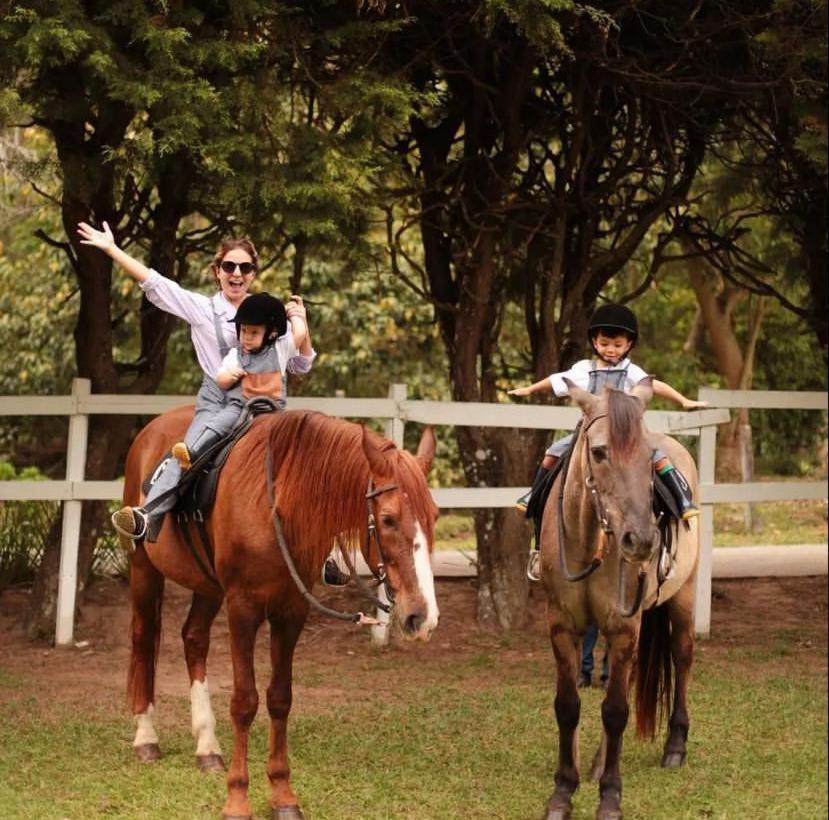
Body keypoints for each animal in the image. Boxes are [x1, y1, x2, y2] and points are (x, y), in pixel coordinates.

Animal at [121, 406, 440, 816]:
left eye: (434, 516)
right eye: (387, 519)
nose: (422, 616)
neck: (278, 508)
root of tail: (152, 428)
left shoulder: (292, 612)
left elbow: (279, 698)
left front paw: (283, 794)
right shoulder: (242, 609)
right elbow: (244, 701)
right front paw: (237, 799)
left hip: (207, 586)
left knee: (194, 639)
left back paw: (207, 746)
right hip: (143, 568)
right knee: (144, 639)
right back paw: (146, 738)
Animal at [540, 380, 696, 820]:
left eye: (647, 455)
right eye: (598, 452)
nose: (641, 540)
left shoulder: (624, 627)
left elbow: (615, 711)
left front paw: (610, 797)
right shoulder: (562, 626)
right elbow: (568, 705)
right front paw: (563, 790)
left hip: (684, 598)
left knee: (681, 657)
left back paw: (675, 746)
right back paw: (595, 763)